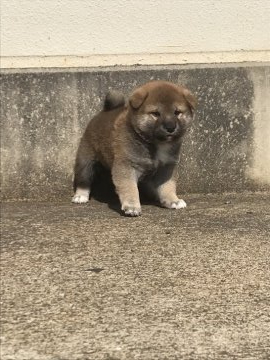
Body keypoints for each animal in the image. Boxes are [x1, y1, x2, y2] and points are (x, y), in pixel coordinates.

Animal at [72, 81, 196, 217]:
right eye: (156, 114)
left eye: (177, 112)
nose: (170, 127)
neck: (154, 143)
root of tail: (104, 111)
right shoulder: (126, 165)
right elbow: (130, 188)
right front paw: (132, 206)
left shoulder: (167, 167)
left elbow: (167, 186)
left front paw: (172, 200)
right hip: (85, 159)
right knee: (84, 178)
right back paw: (80, 196)